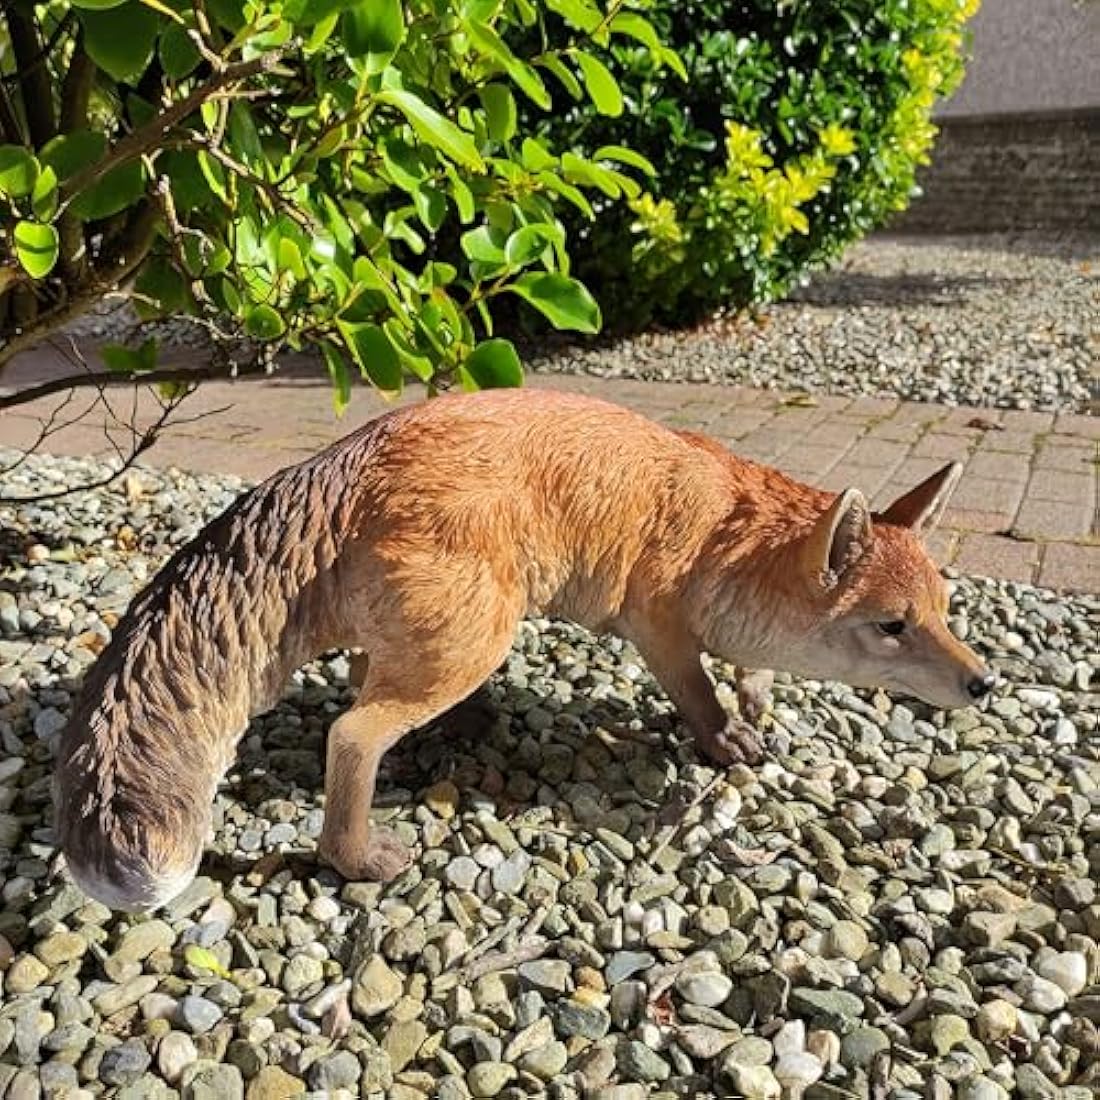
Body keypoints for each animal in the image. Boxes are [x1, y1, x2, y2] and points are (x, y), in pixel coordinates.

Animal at [54, 388, 993, 911]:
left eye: (947, 612)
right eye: (895, 626)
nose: (983, 684)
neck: (726, 534)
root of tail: (345, 455)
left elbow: (752, 671)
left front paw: (759, 701)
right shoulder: (660, 629)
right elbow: (697, 694)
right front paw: (725, 740)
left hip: (441, 642)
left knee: (362, 683)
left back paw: (458, 732)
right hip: (477, 638)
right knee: (351, 735)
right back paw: (355, 858)